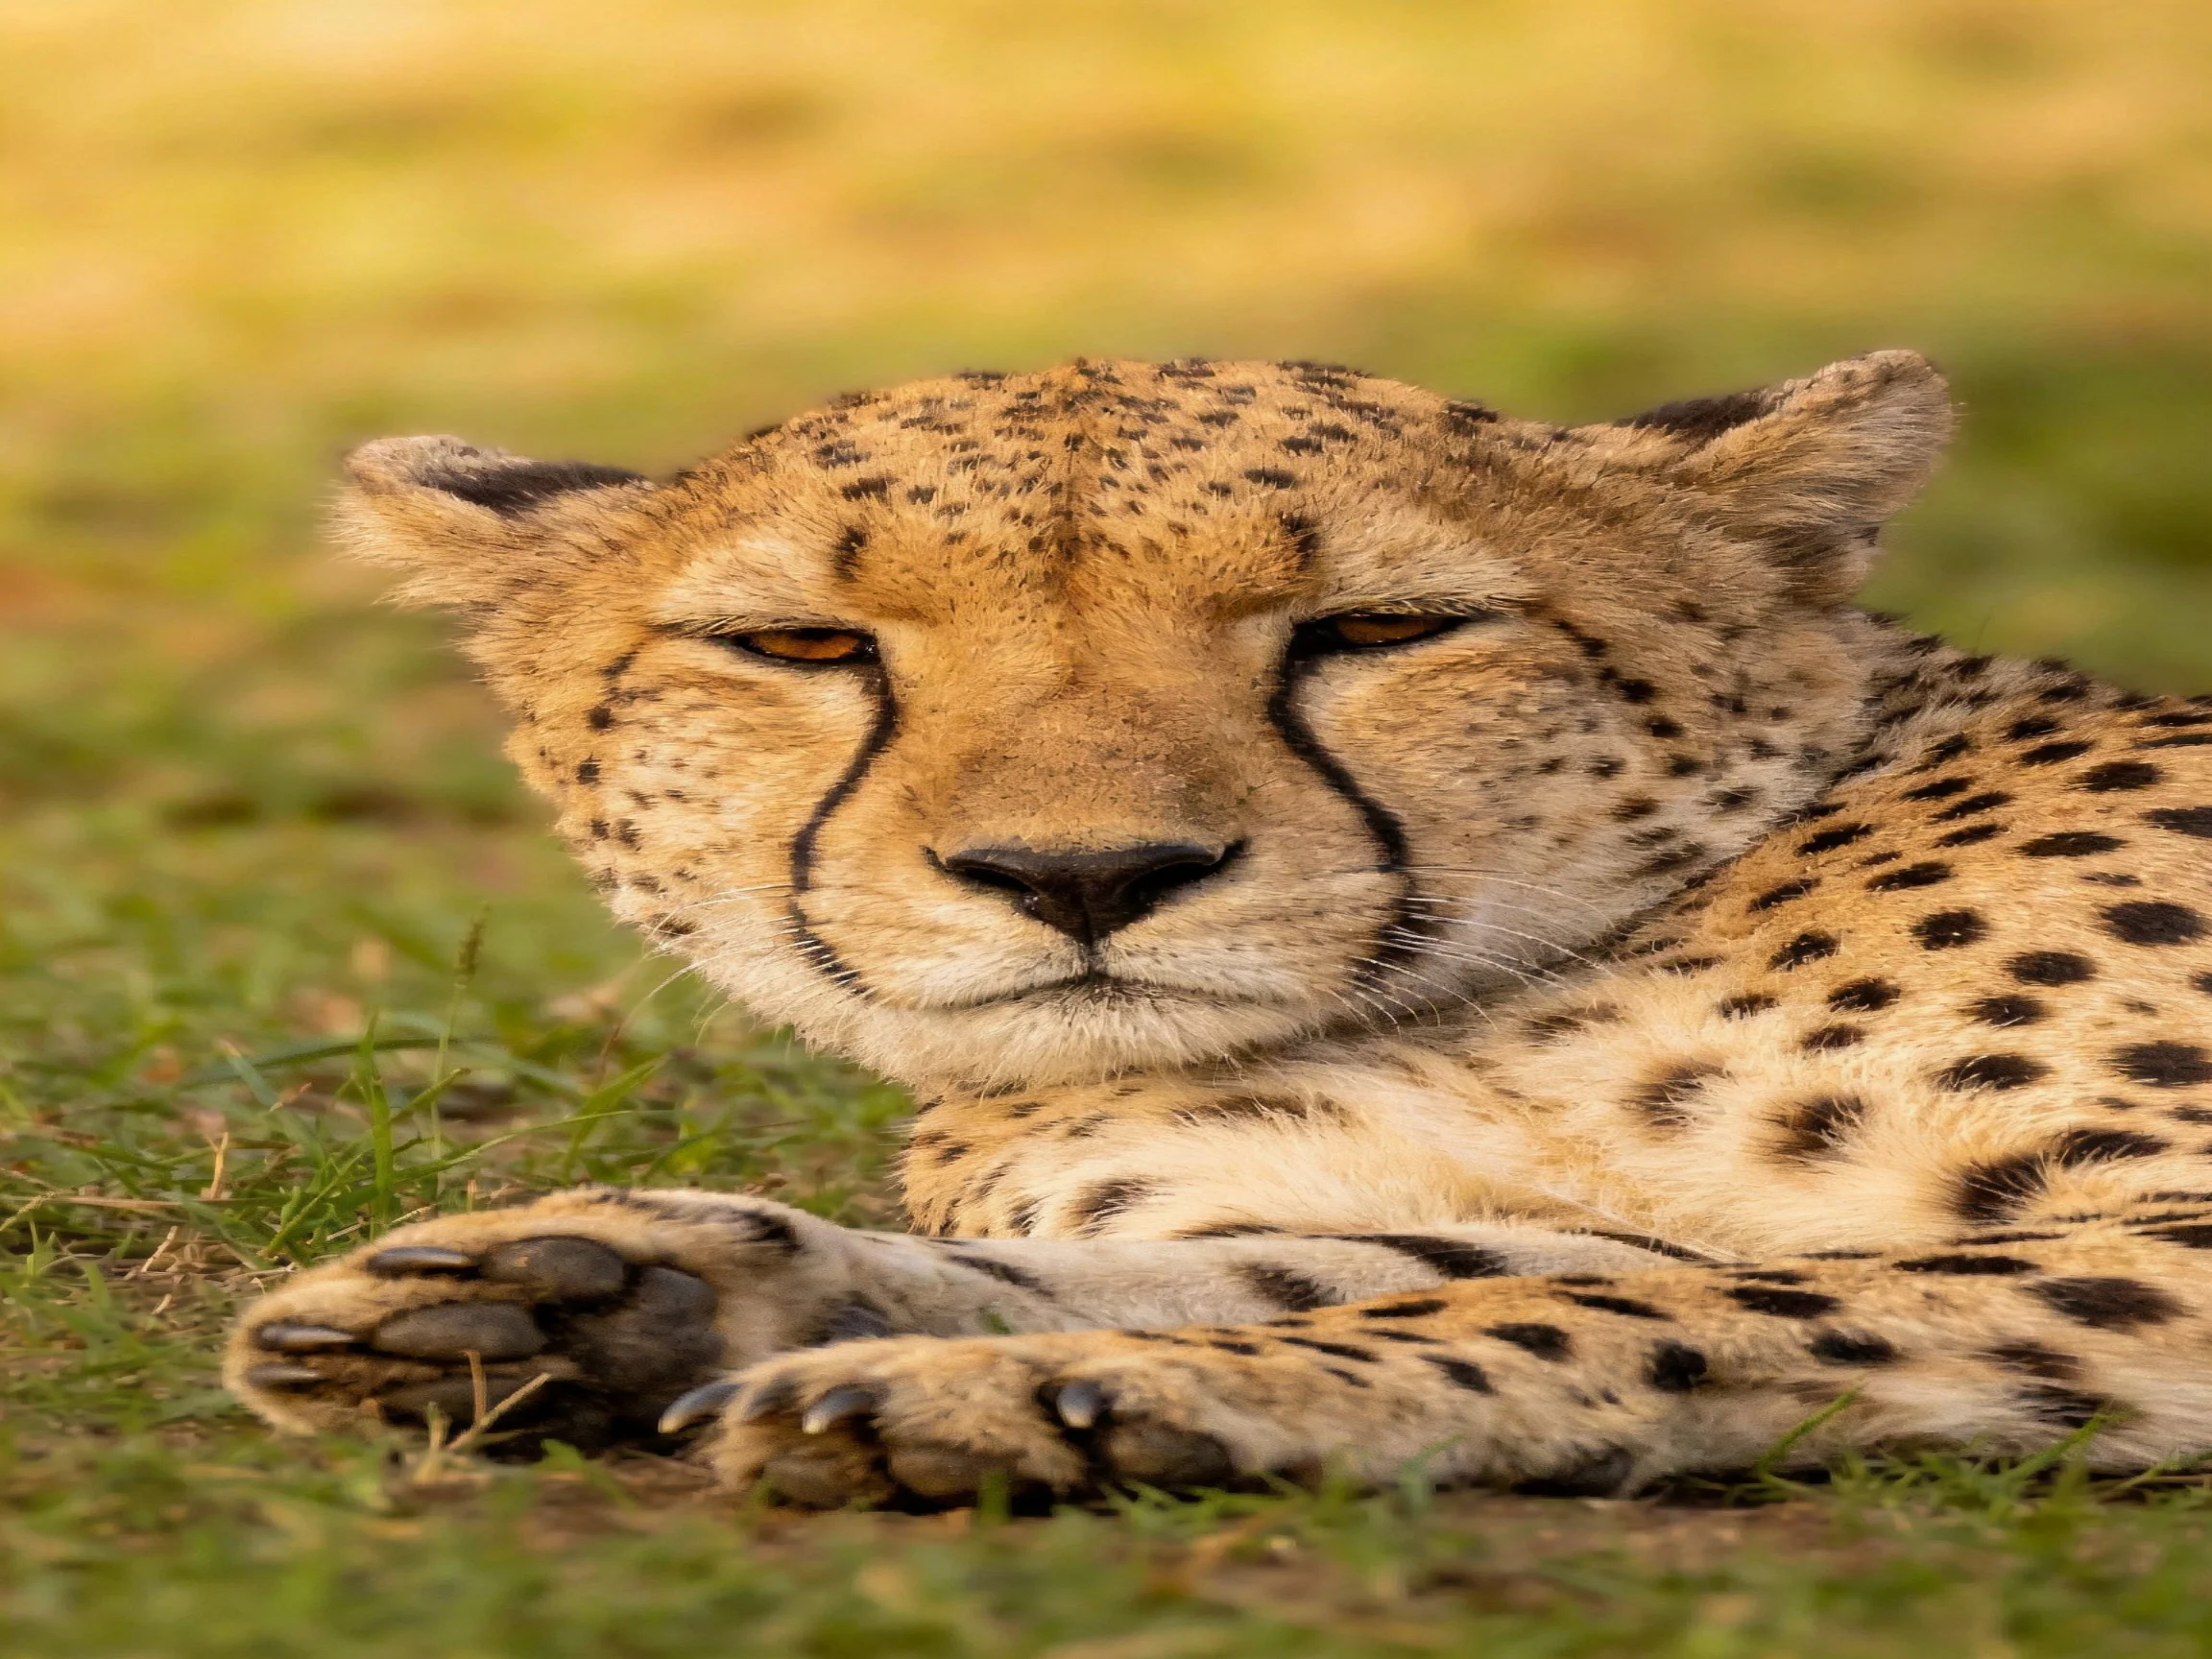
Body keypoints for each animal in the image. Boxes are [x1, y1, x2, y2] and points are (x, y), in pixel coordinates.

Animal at [225, 349, 2212, 1508]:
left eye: (1382, 626)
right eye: (799, 645)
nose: (1079, 874)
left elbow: (1626, 1301)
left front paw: (1048, 1386)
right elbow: (1411, 1263)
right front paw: (615, 1285)